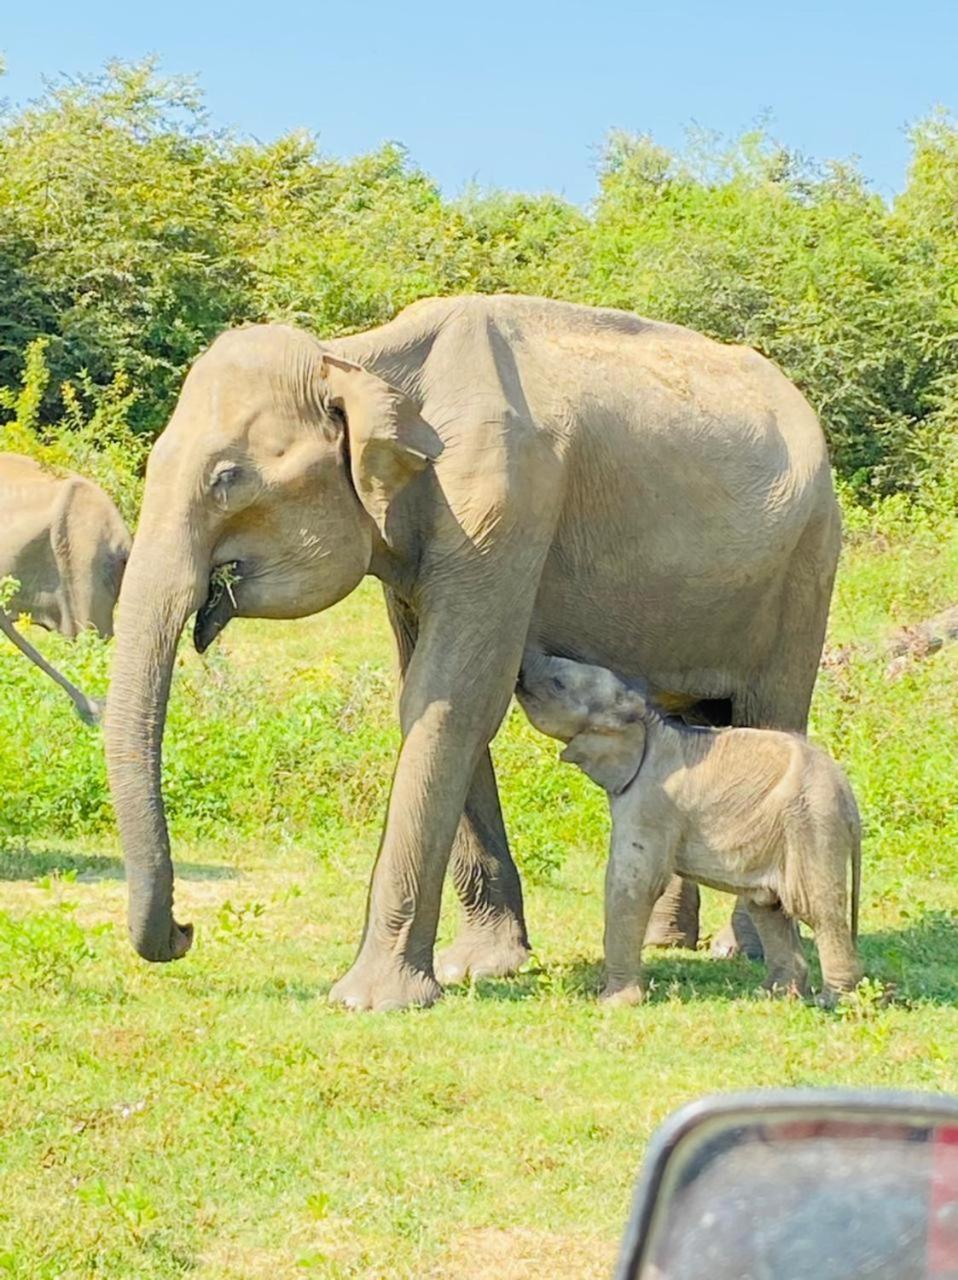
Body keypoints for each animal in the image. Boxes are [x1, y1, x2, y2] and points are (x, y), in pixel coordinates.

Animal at [519, 655, 865, 1003]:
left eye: (558, 684)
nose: (520, 670)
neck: (649, 722)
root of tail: (847, 792)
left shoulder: (652, 799)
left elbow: (633, 881)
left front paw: (612, 1004)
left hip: (811, 824)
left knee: (816, 909)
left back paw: (832, 1001)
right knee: (768, 906)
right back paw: (775, 993)